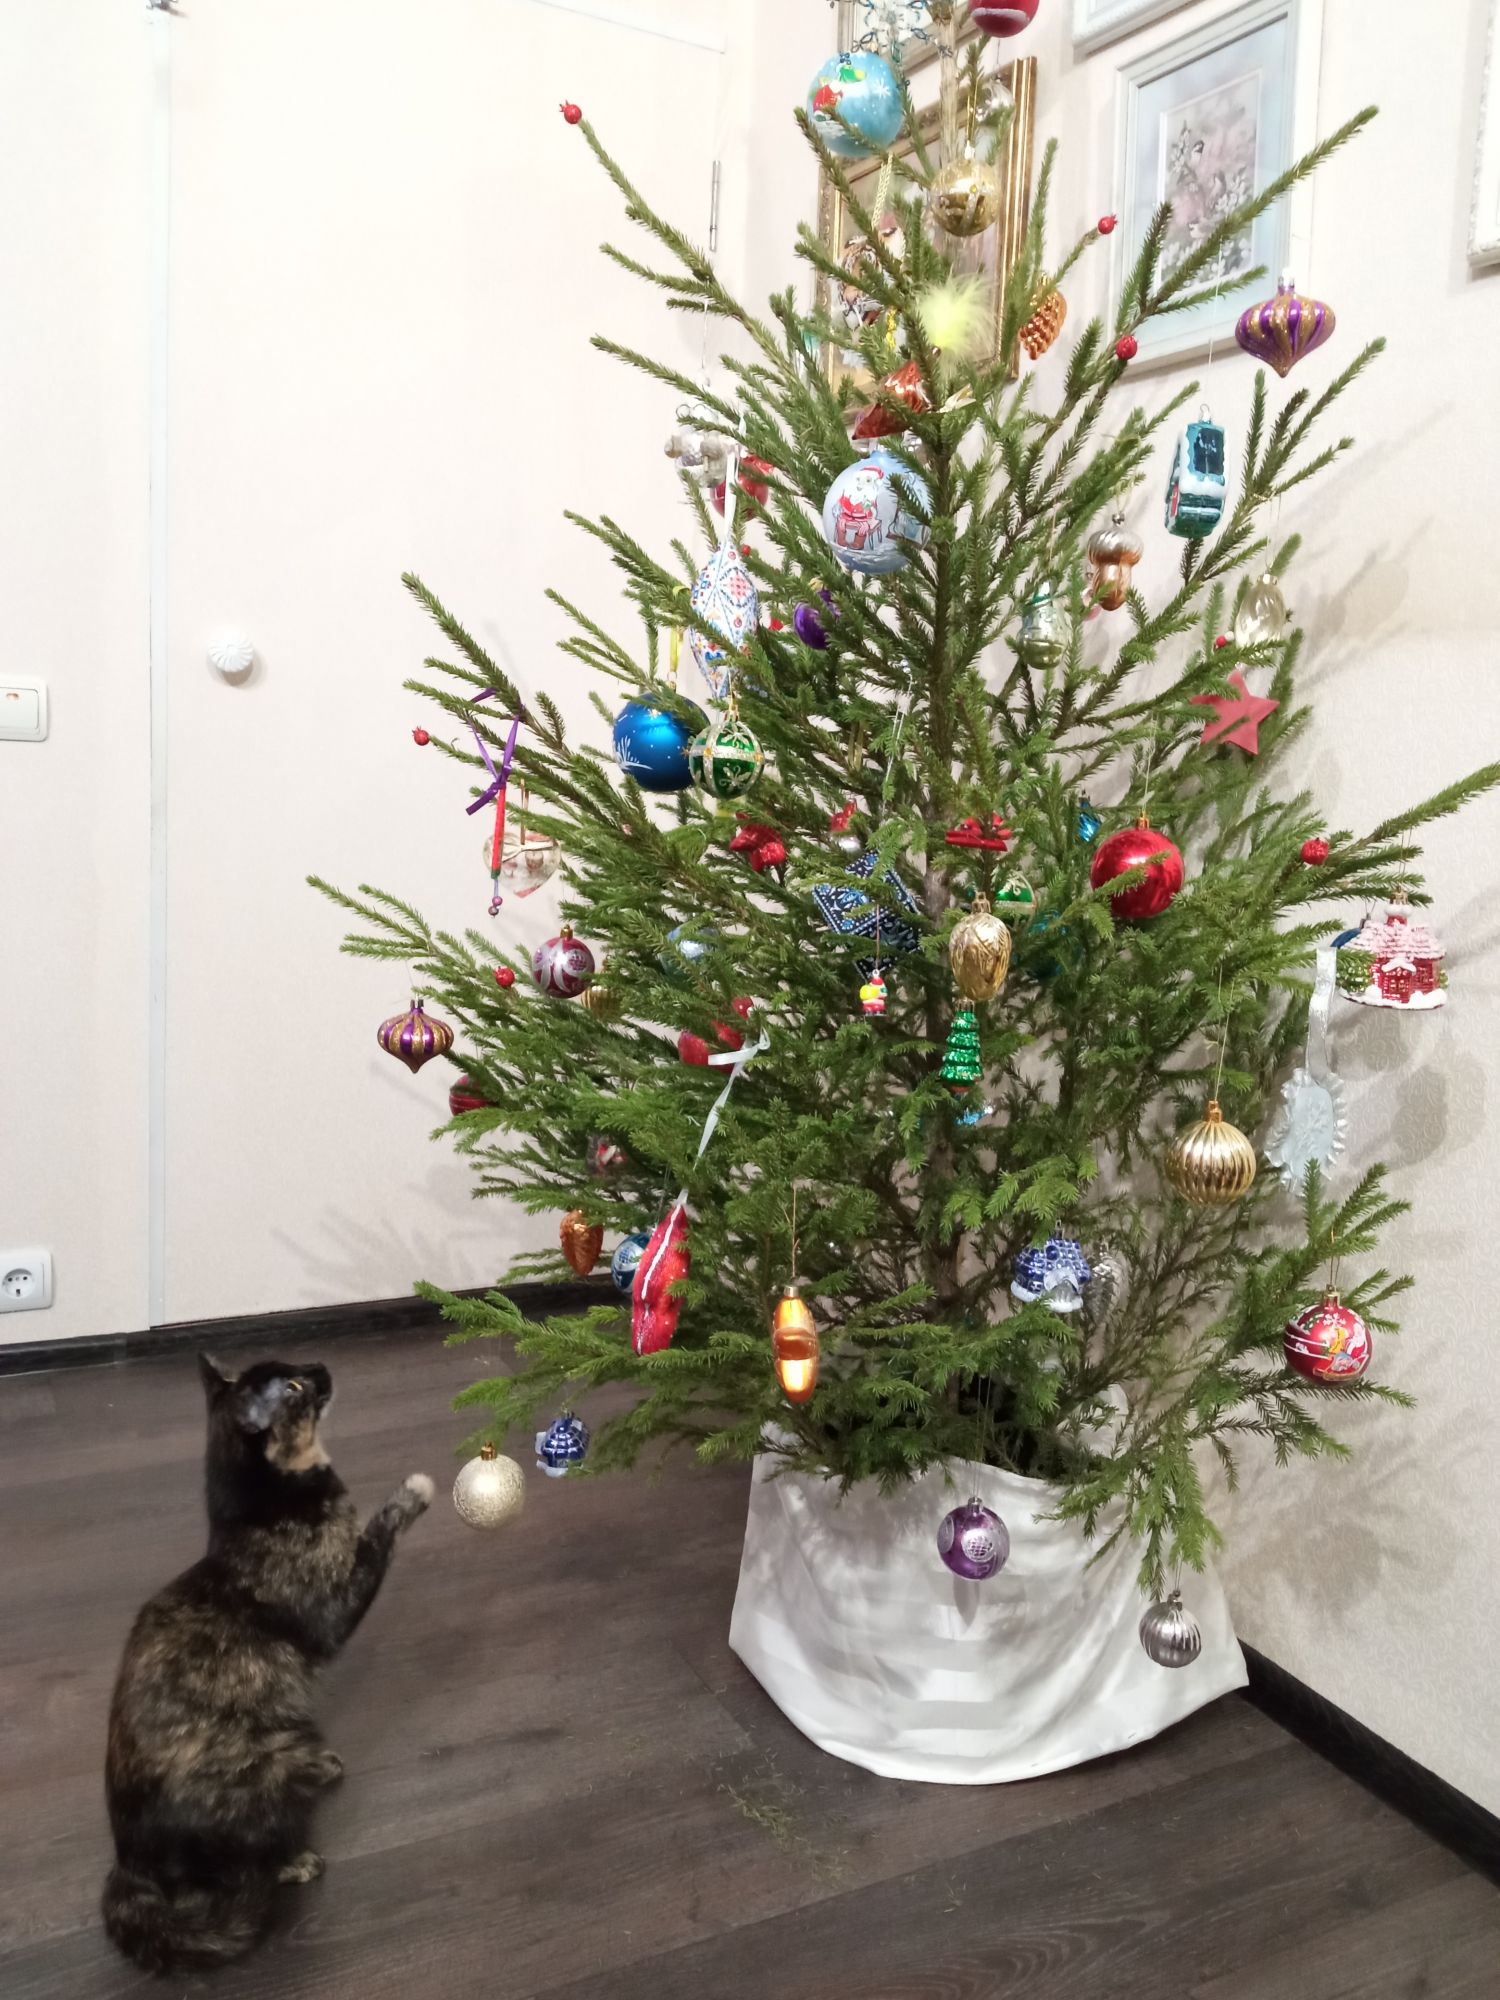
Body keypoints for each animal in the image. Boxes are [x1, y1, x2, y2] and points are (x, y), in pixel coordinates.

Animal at [102, 1353, 434, 1974]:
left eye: (294, 1367)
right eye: (296, 1386)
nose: (321, 1364)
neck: (257, 1512)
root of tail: (128, 1862)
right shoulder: (333, 1611)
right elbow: (375, 1538)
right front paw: (412, 1494)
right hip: (266, 1759)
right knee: (233, 1869)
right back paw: (296, 1859)